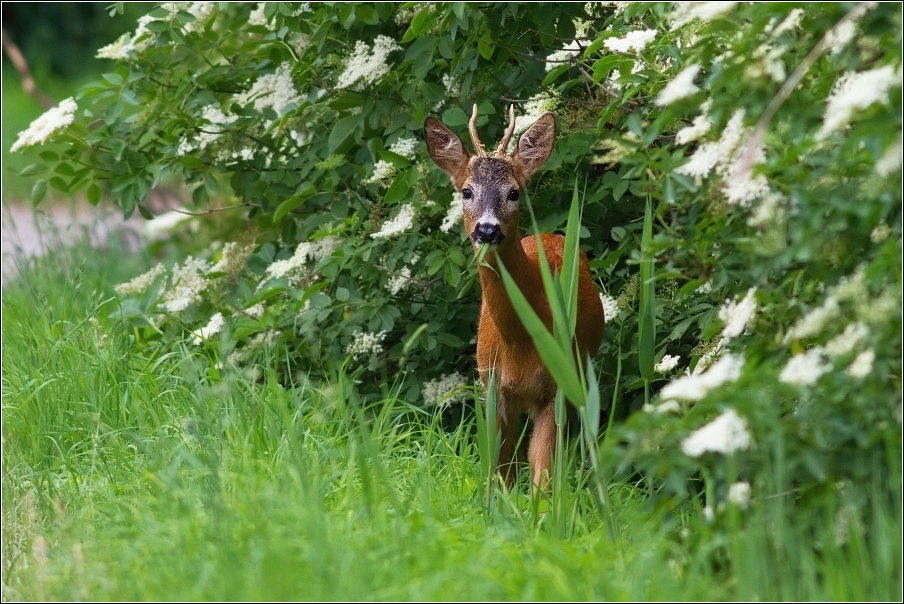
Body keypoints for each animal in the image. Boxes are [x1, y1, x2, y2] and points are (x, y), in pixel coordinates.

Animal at [424, 105, 608, 490]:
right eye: (466, 191)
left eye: (513, 193)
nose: (487, 229)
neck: (519, 344)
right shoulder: (491, 386)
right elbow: (498, 471)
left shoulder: (558, 384)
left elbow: (543, 473)